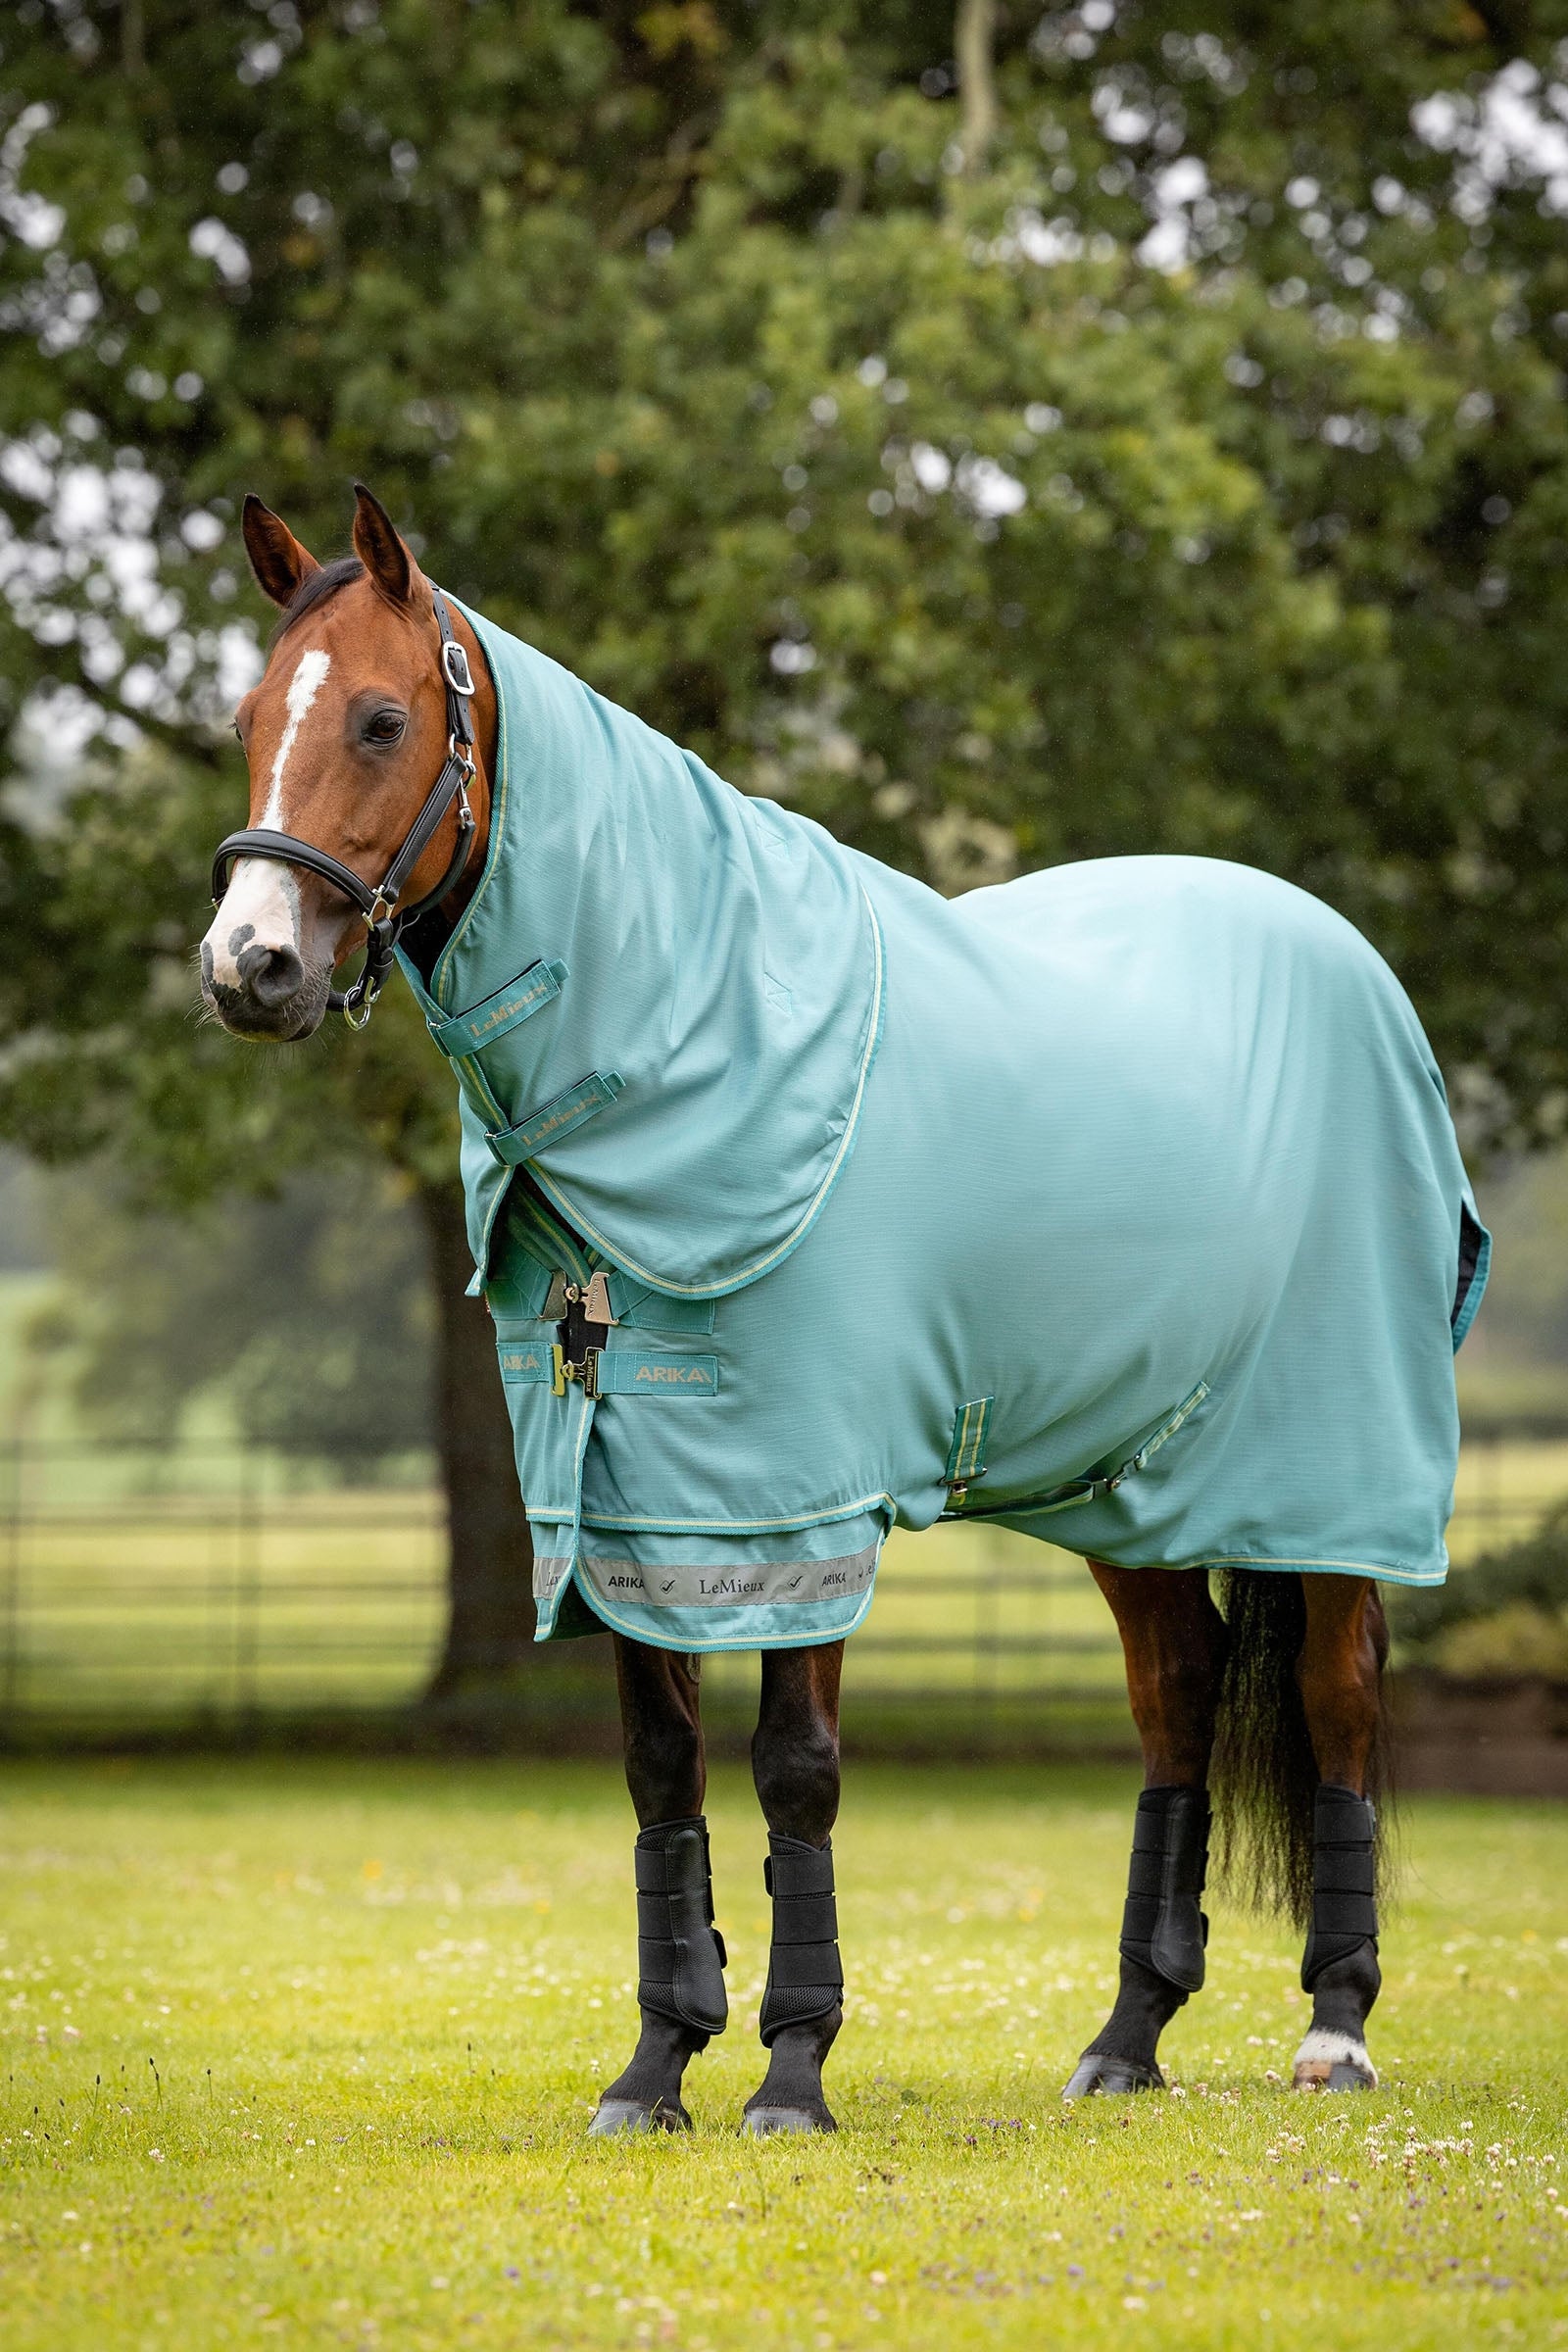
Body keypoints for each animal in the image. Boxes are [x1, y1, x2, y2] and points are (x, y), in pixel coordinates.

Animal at [200, 484, 1487, 2133]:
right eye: (248, 722)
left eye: (376, 717)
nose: (250, 967)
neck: (699, 1021)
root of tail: (1357, 971)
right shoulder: (632, 1497)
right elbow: (660, 1769)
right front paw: (657, 2066)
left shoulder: (795, 1496)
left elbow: (794, 1769)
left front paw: (792, 2072)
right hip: (1132, 1478)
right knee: (1180, 1695)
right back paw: (1127, 2039)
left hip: (1327, 1474)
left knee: (1338, 1698)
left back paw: (1335, 2029)